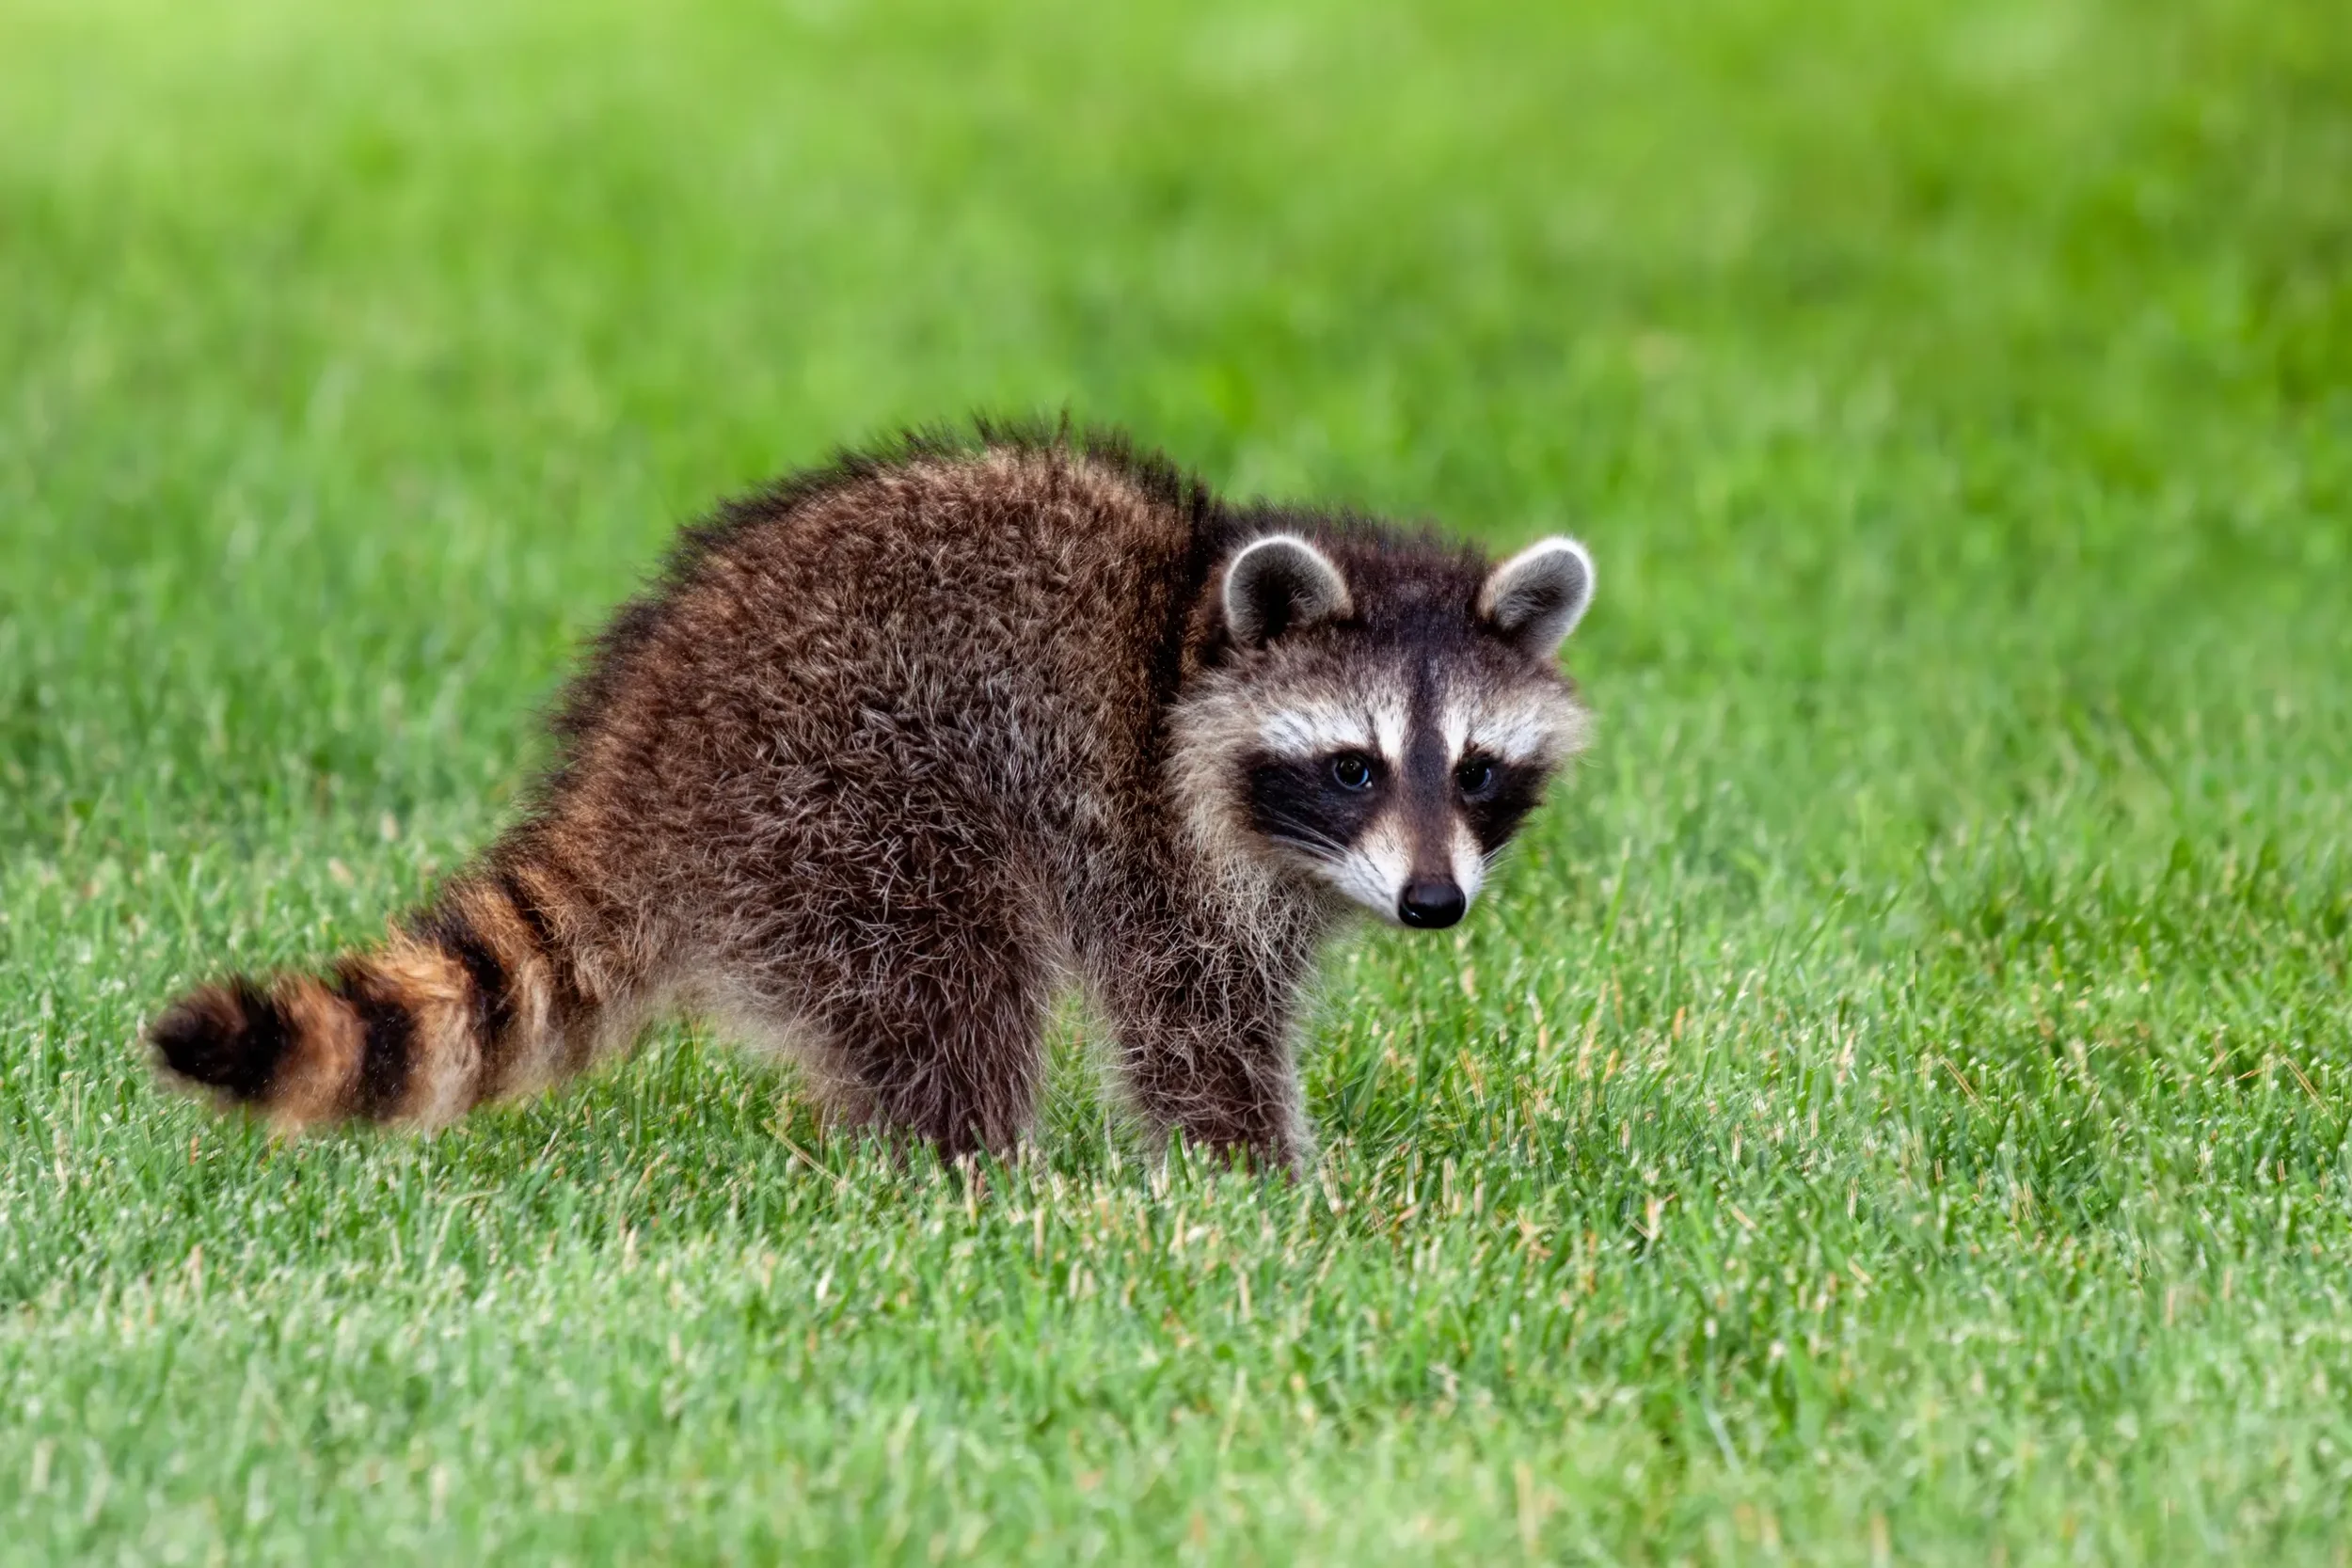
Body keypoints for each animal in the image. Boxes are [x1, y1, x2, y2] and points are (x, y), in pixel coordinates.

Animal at [149, 428, 1595, 1168]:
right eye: (1354, 765)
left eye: (1475, 770)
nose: (1433, 902)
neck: (1189, 627)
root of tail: (635, 757)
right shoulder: (1145, 829)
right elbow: (1192, 1020)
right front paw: (1267, 1182)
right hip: (847, 790)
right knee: (954, 969)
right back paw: (981, 1170)